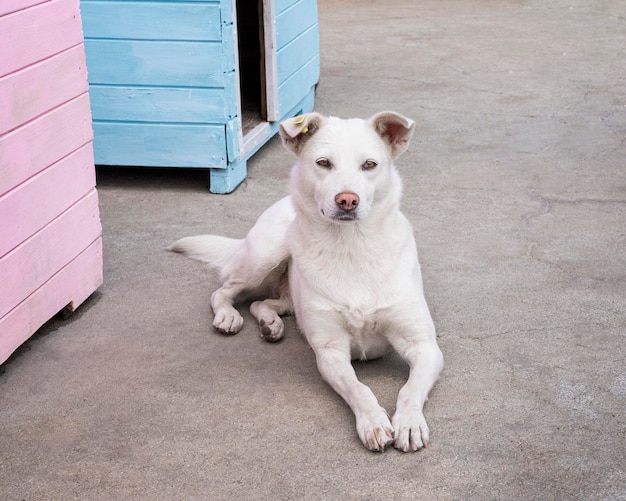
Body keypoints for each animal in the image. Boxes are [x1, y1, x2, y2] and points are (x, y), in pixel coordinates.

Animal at [171, 113, 442, 454]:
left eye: (370, 164)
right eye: (323, 163)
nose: (347, 200)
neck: (352, 248)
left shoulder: (425, 346)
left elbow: (410, 388)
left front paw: (409, 422)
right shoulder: (330, 352)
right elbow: (359, 389)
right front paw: (374, 422)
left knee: (263, 302)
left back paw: (270, 323)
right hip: (264, 254)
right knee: (224, 290)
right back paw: (229, 316)